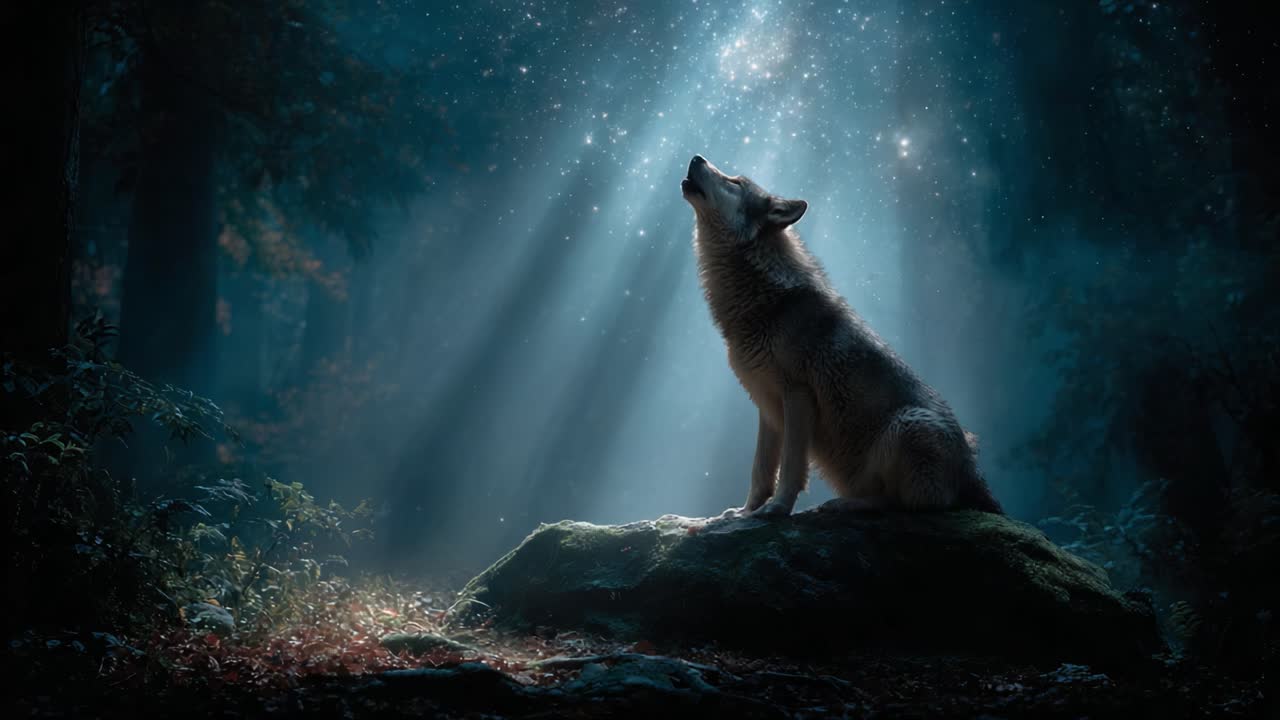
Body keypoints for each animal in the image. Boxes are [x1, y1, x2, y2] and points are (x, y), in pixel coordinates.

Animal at [681, 155, 1003, 517]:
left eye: (735, 182)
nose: (696, 157)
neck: (767, 300)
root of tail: (973, 473)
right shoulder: (767, 405)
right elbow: (760, 469)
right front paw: (746, 511)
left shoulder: (798, 395)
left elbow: (791, 467)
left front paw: (777, 509)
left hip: (906, 426)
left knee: (905, 505)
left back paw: (841, 504)